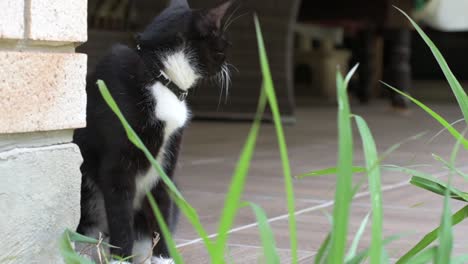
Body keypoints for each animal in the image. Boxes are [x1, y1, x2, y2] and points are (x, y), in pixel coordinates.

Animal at [72, 1, 232, 262]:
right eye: (224, 43)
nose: (228, 61)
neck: (159, 76)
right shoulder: (117, 166)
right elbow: (120, 214)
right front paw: (120, 258)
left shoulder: (167, 163)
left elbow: (162, 209)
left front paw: (164, 257)